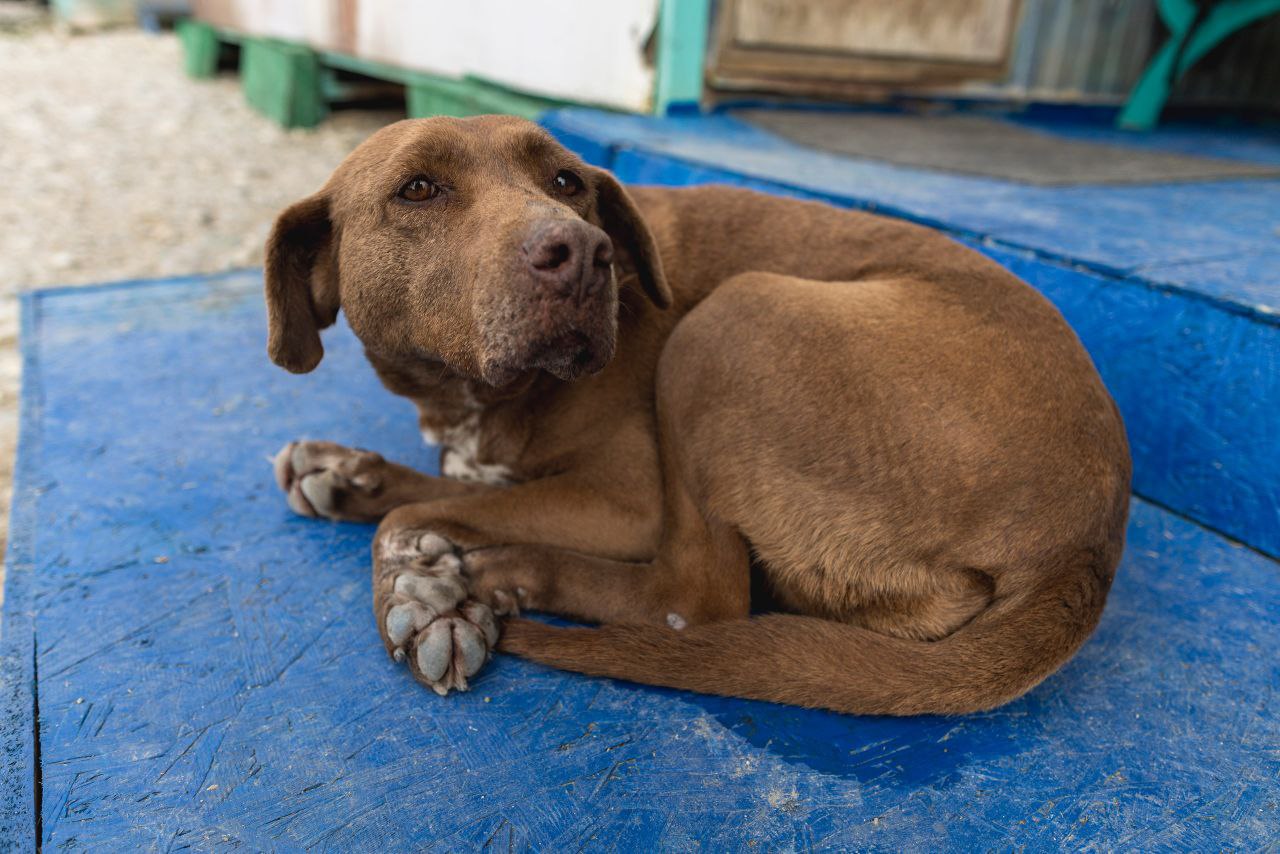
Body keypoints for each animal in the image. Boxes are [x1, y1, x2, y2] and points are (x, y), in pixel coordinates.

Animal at [264, 113, 1126, 717]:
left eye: (567, 181)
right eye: (417, 189)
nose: (582, 253)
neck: (474, 394)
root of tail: (1090, 544)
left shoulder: (628, 500)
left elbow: (420, 512)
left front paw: (418, 588)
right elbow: (450, 484)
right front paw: (355, 477)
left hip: (727, 321)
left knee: (694, 599)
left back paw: (500, 573)